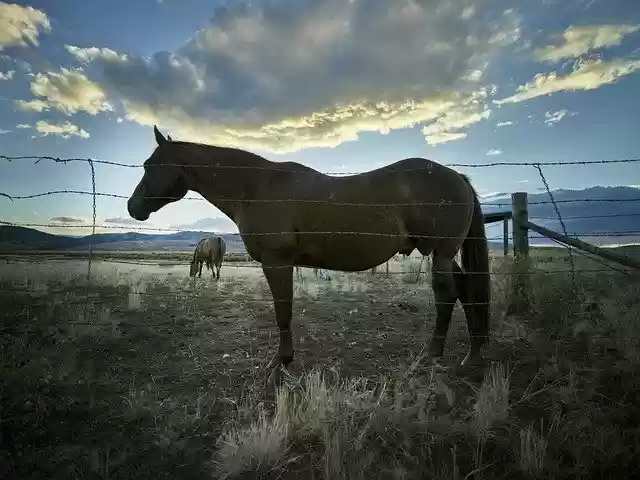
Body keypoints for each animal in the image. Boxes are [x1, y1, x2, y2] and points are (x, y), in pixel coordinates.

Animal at [127, 126, 492, 386]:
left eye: (149, 165)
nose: (133, 207)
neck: (257, 189)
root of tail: (456, 177)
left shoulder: (277, 262)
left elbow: (283, 313)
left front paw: (281, 365)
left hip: (440, 253)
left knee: (447, 294)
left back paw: (433, 355)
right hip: (443, 254)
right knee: (465, 290)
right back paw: (473, 355)